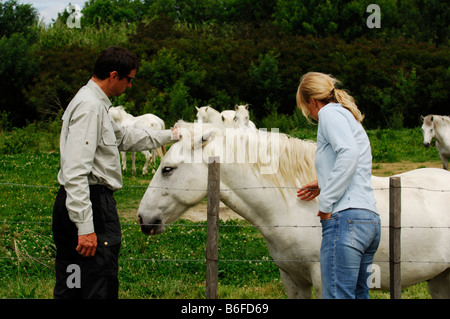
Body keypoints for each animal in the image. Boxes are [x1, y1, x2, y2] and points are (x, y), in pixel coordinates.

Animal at [137, 122, 450, 300]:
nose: (142, 219)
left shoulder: (324, 280)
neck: (296, 206)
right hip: (439, 280)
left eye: (167, 169)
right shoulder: (293, 280)